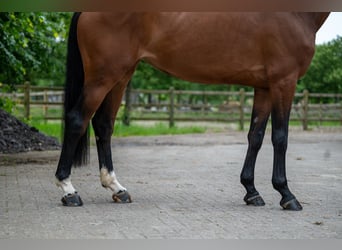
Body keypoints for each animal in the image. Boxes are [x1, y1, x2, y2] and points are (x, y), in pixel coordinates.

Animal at [55, 12, 328, 210]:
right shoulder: (284, 81)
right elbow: (280, 137)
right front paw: (287, 195)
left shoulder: (264, 87)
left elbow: (256, 136)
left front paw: (251, 192)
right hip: (103, 77)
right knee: (78, 120)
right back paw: (69, 191)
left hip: (121, 75)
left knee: (103, 125)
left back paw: (117, 189)